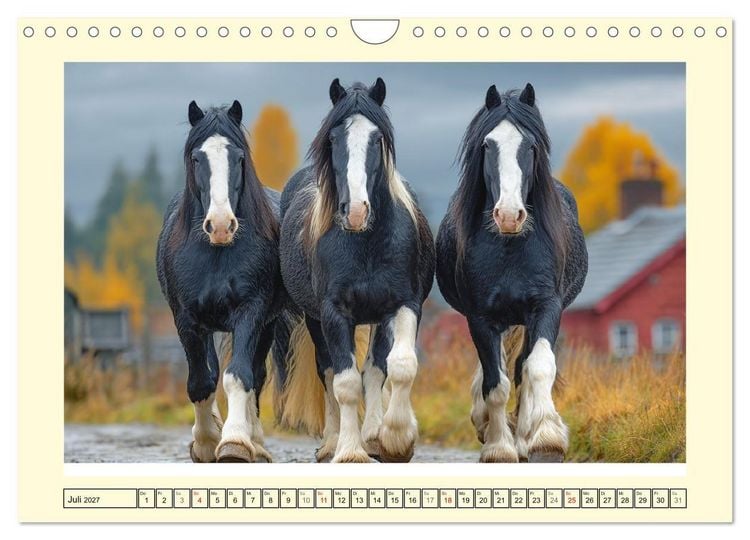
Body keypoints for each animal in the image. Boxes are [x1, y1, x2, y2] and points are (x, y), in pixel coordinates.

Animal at [156, 100, 290, 463]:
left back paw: (256, 443)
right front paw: (204, 442)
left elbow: (239, 376)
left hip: (267, 325)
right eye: (196, 158)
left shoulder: (250, 312)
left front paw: (235, 443)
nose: (220, 225)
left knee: (256, 376)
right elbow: (200, 382)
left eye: (239, 157)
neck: (215, 253)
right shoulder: (186, 319)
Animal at [277, 78, 435, 463]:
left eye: (377, 139)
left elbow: (398, 366)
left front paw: (395, 439)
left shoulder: (404, 305)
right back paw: (332, 443)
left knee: (375, 369)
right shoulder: (334, 313)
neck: (366, 243)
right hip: (315, 319)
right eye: (333, 139)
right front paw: (350, 451)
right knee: (329, 372)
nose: (356, 212)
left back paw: (375, 435)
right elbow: (344, 383)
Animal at [436, 83, 588, 463]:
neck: (510, 247)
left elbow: (537, 367)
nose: (508, 215)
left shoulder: (546, 307)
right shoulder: (481, 317)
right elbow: (496, 383)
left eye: (530, 146)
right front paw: (499, 446)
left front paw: (545, 437)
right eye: (487, 145)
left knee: (522, 366)